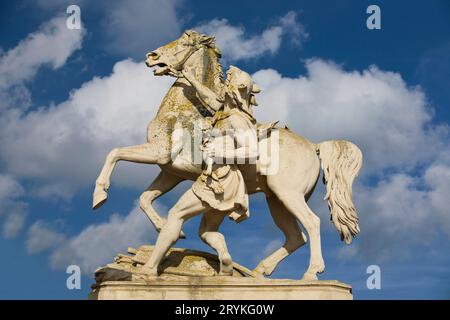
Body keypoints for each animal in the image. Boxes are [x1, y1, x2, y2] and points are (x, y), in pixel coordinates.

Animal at [93, 30, 364, 280]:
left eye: (184, 42)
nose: (152, 56)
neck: (182, 110)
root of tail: (314, 145)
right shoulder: (171, 172)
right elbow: (145, 197)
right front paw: (169, 229)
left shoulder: (158, 154)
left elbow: (114, 153)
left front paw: (100, 195)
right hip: (276, 200)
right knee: (296, 237)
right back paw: (258, 271)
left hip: (288, 194)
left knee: (312, 223)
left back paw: (310, 273)